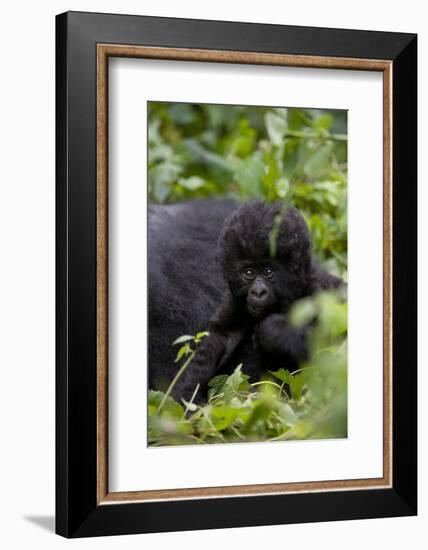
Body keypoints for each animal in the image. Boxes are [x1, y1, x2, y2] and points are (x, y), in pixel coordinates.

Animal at [171, 201, 342, 404]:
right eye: (249, 273)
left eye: (268, 271)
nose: (258, 292)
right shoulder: (234, 301)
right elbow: (218, 339)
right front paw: (185, 395)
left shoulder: (321, 289)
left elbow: (329, 346)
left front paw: (271, 330)